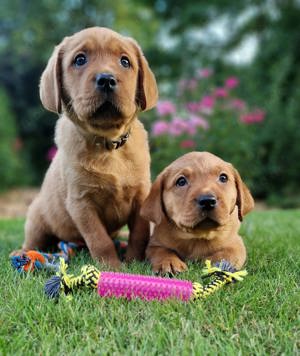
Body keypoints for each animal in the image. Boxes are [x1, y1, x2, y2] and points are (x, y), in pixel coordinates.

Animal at [14, 26, 158, 268]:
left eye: (125, 61)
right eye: (80, 59)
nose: (107, 79)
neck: (109, 144)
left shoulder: (141, 195)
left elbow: (139, 233)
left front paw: (135, 262)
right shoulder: (81, 203)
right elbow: (99, 240)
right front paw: (112, 266)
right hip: (36, 218)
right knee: (33, 241)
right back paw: (23, 253)